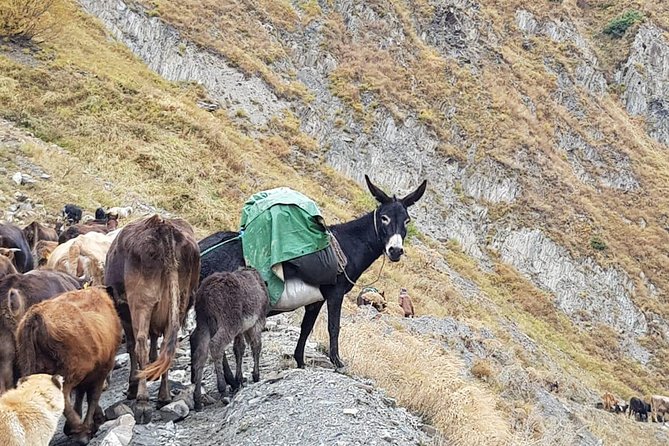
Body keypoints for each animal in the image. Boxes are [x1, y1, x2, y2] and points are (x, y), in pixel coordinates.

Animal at [17, 288, 121, 444]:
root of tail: (36, 314)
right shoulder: (102, 369)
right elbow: (92, 396)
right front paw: (91, 423)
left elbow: (81, 394)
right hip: (69, 373)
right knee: (64, 396)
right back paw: (80, 431)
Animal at [105, 214, 200, 424]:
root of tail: (163, 228)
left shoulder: (126, 315)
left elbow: (132, 346)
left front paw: (133, 386)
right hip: (180, 299)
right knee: (167, 344)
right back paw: (164, 396)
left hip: (141, 302)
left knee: (140, 343)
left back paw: (142, 402)